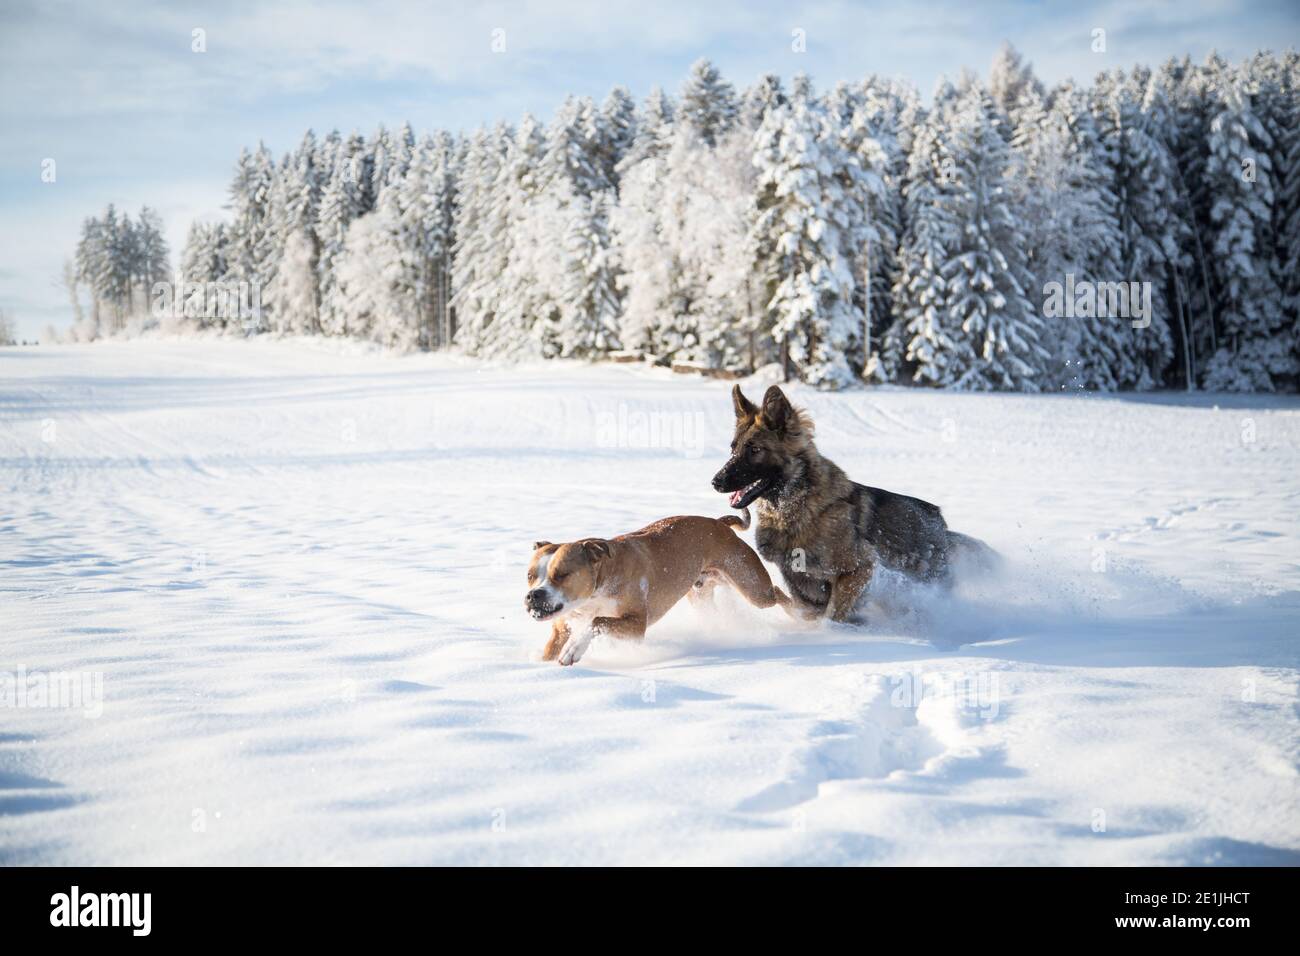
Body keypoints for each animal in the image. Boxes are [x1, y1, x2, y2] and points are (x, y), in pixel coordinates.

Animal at [522, 509, 785, 665]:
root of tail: (719, 524)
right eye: (530, 576)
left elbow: (597, 621)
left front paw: (573, 649)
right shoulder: (562, 626)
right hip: (702, 594)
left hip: (753, 587)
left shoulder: (636, 624)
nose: (533, 595)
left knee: (778, 594)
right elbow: (553, 645)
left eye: (561, 575)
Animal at [712, 385, 993, 624]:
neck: (798, 507)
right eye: (733, 448)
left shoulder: (858, 569)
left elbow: (833, 614)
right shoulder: (800, 582)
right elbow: (809, 609)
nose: (715, 482)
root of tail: (941, 524)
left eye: (754, 449)